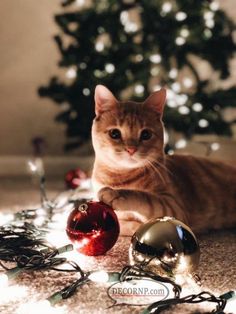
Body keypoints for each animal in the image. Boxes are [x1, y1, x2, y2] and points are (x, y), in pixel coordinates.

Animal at [91, 84, 236, 234]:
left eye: (146, 134)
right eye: (114, 133)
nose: (131, 149)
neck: (120, 178)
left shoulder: (173, 208)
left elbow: (145, 198)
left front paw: (115, 194)